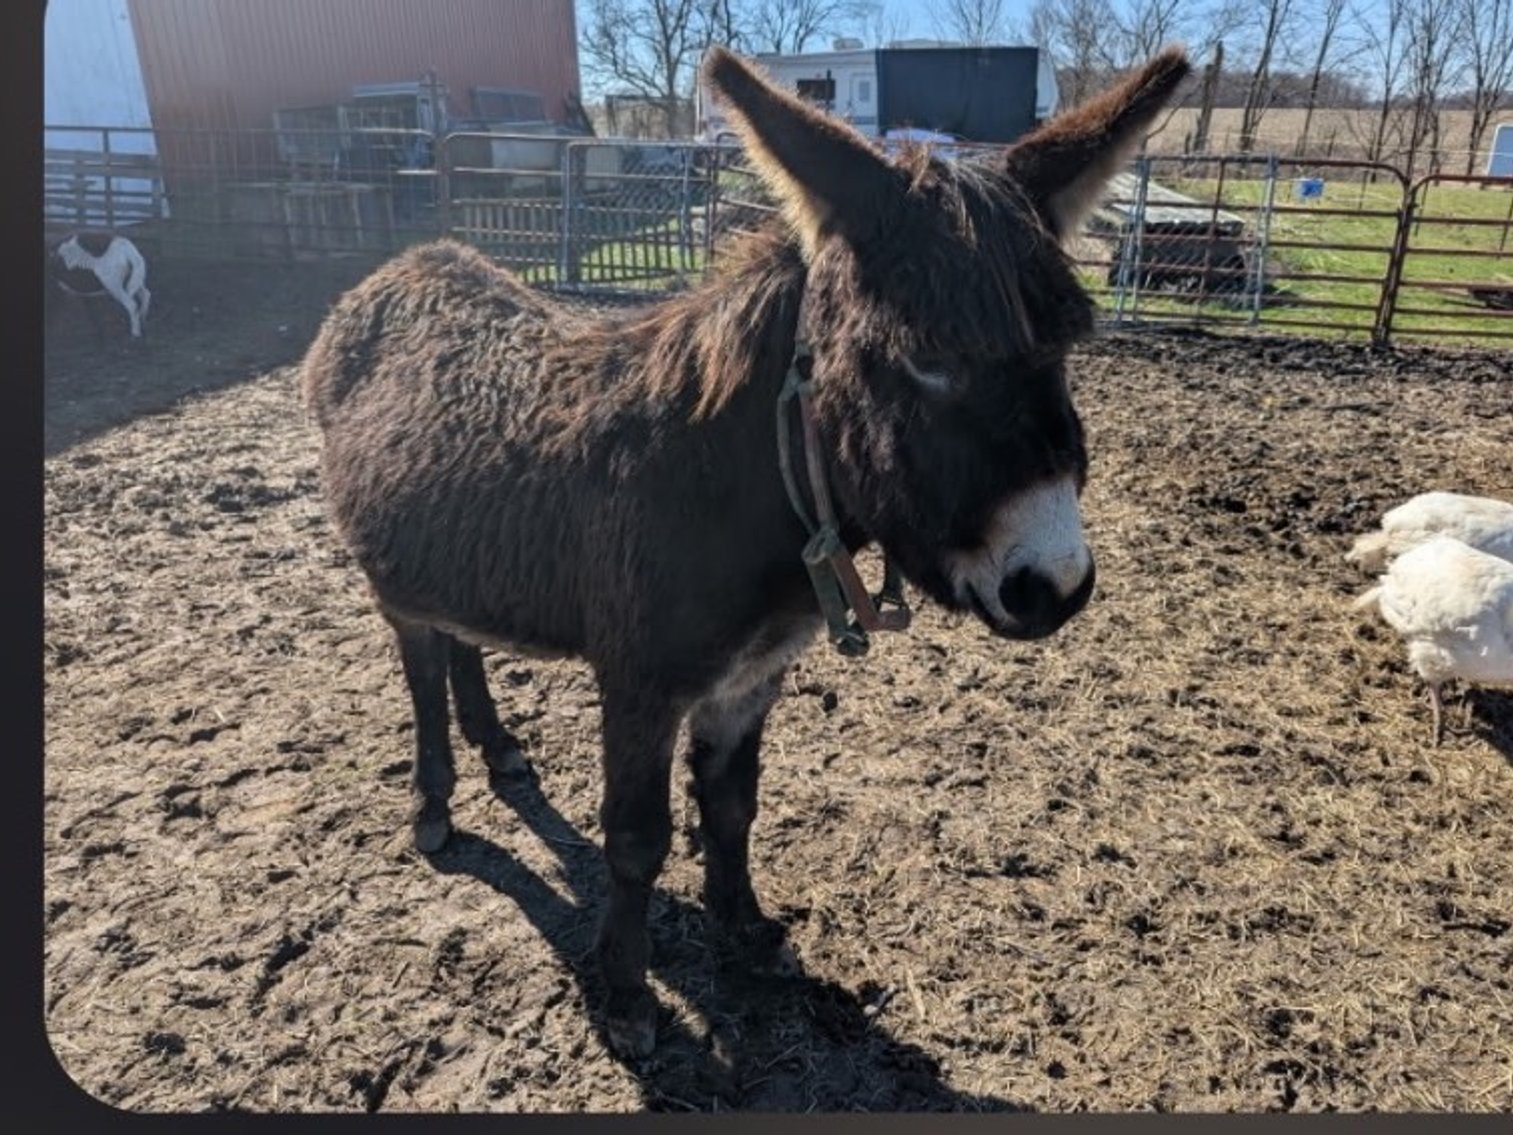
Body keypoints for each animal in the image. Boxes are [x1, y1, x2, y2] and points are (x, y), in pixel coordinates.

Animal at [300, 45, 1192, 1057]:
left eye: (1065, 350)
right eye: (923, 357)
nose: (1057, 584)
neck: (747, 487)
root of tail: (398, 267)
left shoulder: (751, 673)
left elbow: (733, 807)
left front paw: (745, 928)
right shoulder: (639, 680)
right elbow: (636, 838)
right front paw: (625, 992)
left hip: (455, 550)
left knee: (461, 642)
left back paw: (500, 751)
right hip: (389, 578)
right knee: (421, 666)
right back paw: (435, 803)